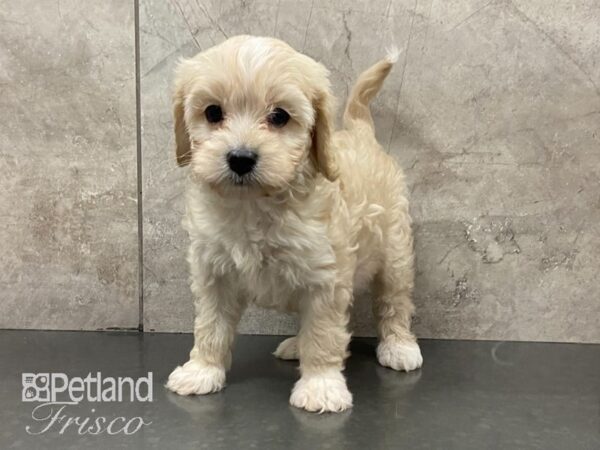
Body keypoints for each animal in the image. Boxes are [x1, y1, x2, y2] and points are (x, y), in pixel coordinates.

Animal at [165, 37, 422, 414]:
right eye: (213, 112)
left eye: (279, 117)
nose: (240, 158)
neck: (255, 204)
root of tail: (360, 130)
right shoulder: (214, 272)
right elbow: (210, 325)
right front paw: (202, 371)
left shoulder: (325, 278)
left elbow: (323, 332)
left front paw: (321, 386)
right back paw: (297, 346)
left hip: (395, 253)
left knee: (394, 302)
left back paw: (399, 346)